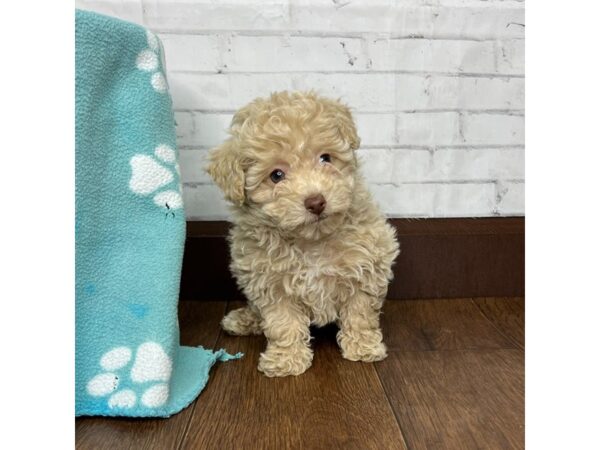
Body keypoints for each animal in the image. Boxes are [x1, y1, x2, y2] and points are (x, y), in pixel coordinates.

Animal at [206, 90, 398, 376]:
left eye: (325, 158)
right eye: (276, 175)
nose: (316, 201)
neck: (312, 240)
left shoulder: (367, 263)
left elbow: (360, 311)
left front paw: (363, 346)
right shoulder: (270, 282)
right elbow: (282, 322)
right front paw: (286, 359)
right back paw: (245, 319)